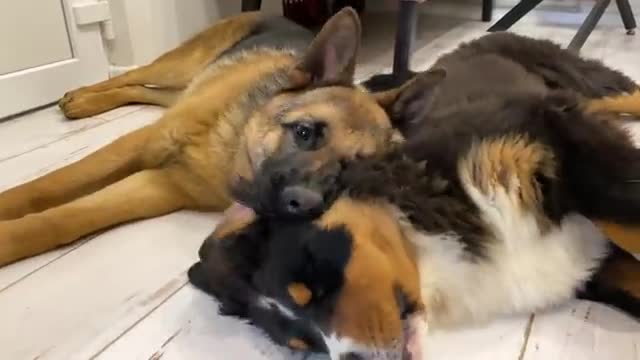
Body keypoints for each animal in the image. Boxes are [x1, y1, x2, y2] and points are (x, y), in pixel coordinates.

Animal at [0, 9, 416, 268]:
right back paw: (83, 98)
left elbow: (63, 218)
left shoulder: (162, 187)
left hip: (181, 85)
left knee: (143, 91)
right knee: (131, 75)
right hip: (178, 65)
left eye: (353, 171)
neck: (232, 145)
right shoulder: (138, 144)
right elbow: (46, 187)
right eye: (304, 132)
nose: (306, 206)